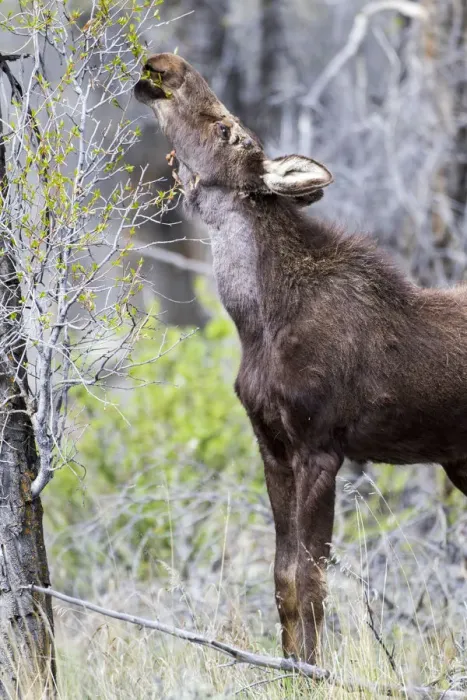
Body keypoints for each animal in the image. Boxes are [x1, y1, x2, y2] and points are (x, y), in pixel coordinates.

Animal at [134, 53, 467, 664]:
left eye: (228, 130)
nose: (166, 64)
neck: (258, 319)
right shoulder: (272, 445)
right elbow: (282, 581)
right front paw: (289, 666)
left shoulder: (320, 446)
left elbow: (310, 583)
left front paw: (313, 670)